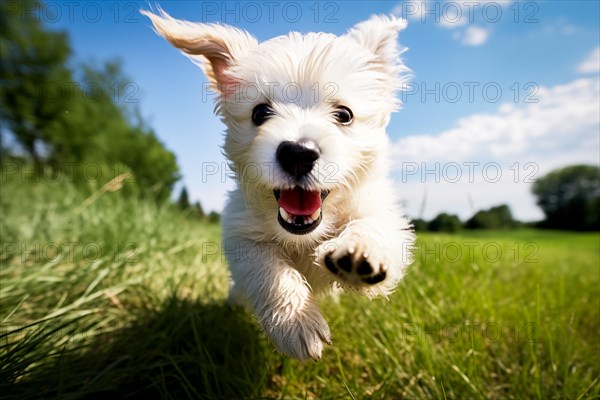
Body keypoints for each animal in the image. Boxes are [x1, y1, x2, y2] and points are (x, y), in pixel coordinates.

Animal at [143, 8, 414, 360]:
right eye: (260, 113)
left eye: (344, 115)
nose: (298, 153)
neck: (303, 237)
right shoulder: (241, 234)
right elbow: (268, 270)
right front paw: (295, 323)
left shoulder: (378, 210)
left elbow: (375, 226)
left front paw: (359, 253)